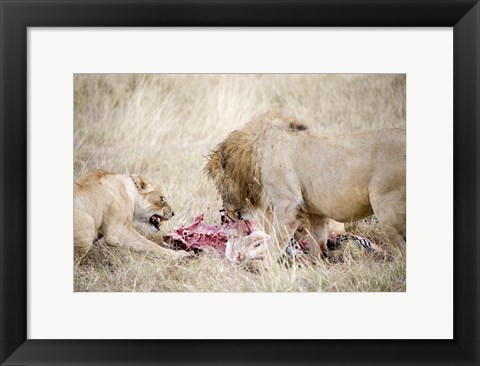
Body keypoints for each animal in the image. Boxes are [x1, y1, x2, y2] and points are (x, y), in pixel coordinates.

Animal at [203, 113, 404, 262]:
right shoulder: (316, 212)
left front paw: (266, 270)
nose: (223, 211)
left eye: (219, 185)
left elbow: (276, 243)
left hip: (387, 210)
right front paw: (317, 266)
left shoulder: (288, 204)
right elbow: (317, 243)